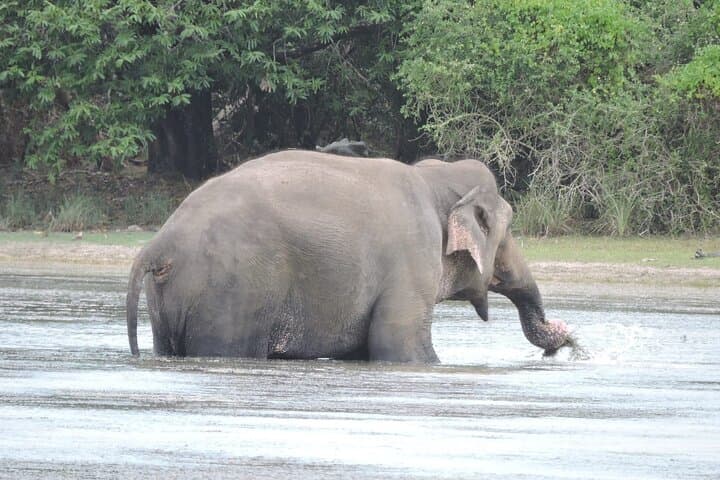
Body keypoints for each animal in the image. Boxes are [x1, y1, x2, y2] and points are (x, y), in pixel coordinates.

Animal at [126, 150, 571, 362]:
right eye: (508, 228)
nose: (564, 338)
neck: (434, 177)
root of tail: (157, 245)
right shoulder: (412, 260)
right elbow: (400, 349)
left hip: (171, 302)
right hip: (229, 297)